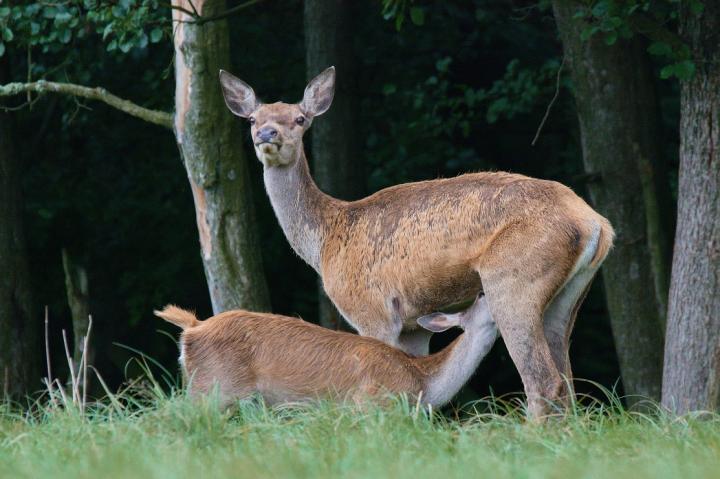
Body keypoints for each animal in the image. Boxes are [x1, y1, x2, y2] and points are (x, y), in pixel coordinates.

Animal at [218, 67, 612, 420]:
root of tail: (596, 223)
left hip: (513, 280)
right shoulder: (413, 324)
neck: (325, 242)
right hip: (568, 295)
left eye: (300, 119)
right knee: (567, 381)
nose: (267, 133)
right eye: (252, 118)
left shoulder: (370, 308)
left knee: (542, 380)